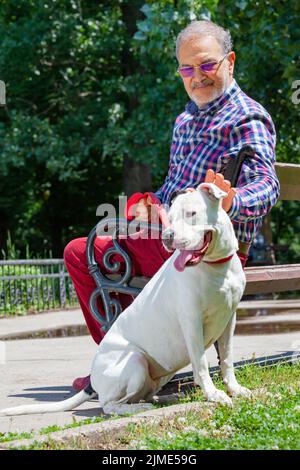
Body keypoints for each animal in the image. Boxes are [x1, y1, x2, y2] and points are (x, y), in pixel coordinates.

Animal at [0, 182, 251, 416]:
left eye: (191, 213)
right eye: (169, 219)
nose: (168, 236)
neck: (216, 266)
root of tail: (92, 380)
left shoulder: (229, 319)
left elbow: (226, 358)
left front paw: (234, 389)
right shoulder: (192, 322)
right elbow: (202, 363)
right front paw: (213, 395)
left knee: (144, 394)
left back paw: (164, 398)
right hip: (135, 361)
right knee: (109, 405)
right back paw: (138, 408)